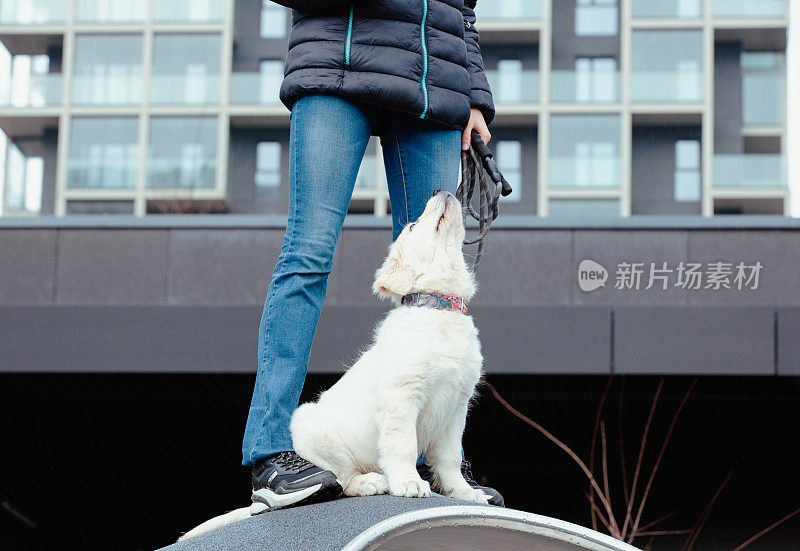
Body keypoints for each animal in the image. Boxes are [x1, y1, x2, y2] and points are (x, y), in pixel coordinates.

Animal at [178, 193, 484, 544]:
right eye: (413, 225)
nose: (441, 192)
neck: (438, 307)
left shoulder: (457, 405)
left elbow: (450, 457)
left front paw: (463, 492)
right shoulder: (403, 396)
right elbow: (403, 444)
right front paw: (408, 482)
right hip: (320, 437)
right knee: (340, 482)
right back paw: (370, 481)